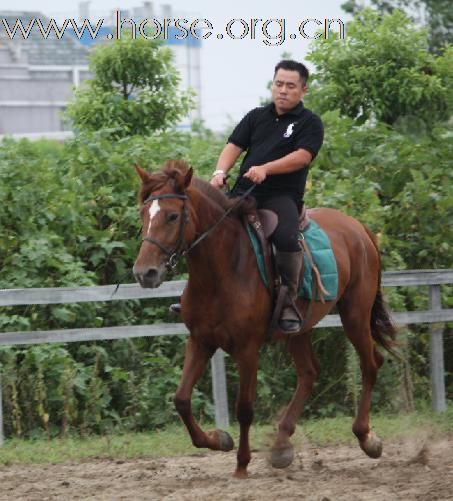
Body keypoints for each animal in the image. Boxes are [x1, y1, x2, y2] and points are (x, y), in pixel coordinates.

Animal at [132, 160, 394, 476]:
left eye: (172, 216)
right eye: (143, 214)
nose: (145, 273)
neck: (220, 270)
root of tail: (358, 227)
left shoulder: (247, 349)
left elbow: (245, 408)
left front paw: (242, 465)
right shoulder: (200, 340)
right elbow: (181, 399)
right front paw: (219, 439)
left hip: (355, 316)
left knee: (371, 364)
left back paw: (366, 437)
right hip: (298, 329)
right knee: (309, 372)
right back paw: (281, 444)